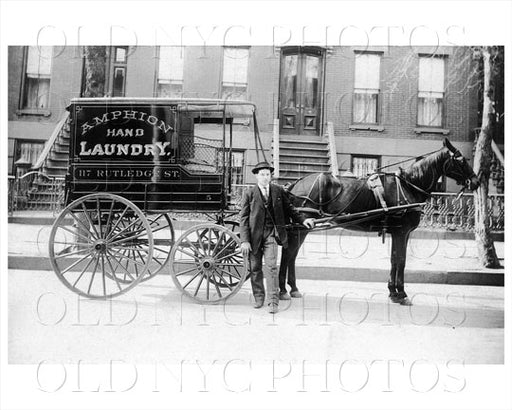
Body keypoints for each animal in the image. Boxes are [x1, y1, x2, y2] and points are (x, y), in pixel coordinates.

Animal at [278, 138, 478, 304]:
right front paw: (401, 294)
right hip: (301, 227)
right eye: (461, 160)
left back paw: (292, 288)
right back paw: (283, 290)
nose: (475, 181)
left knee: (292, 256)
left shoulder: (400, 233)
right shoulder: (401, 232)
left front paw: (393, 292)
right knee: (288, 255)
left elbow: (394, 260)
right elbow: (401, 260)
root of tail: (296, 184)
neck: (407, 186)